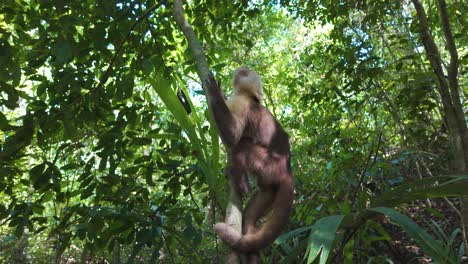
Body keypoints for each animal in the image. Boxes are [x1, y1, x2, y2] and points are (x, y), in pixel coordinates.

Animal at [207, 67, 294, 260]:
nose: (243, 68)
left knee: (242, 144)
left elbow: (232, 136)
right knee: (250, 218)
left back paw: (241, 184)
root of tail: (287, 171)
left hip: (269, 164)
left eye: (247, 73)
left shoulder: (241, 103)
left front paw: (214, 91)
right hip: (269, 186)